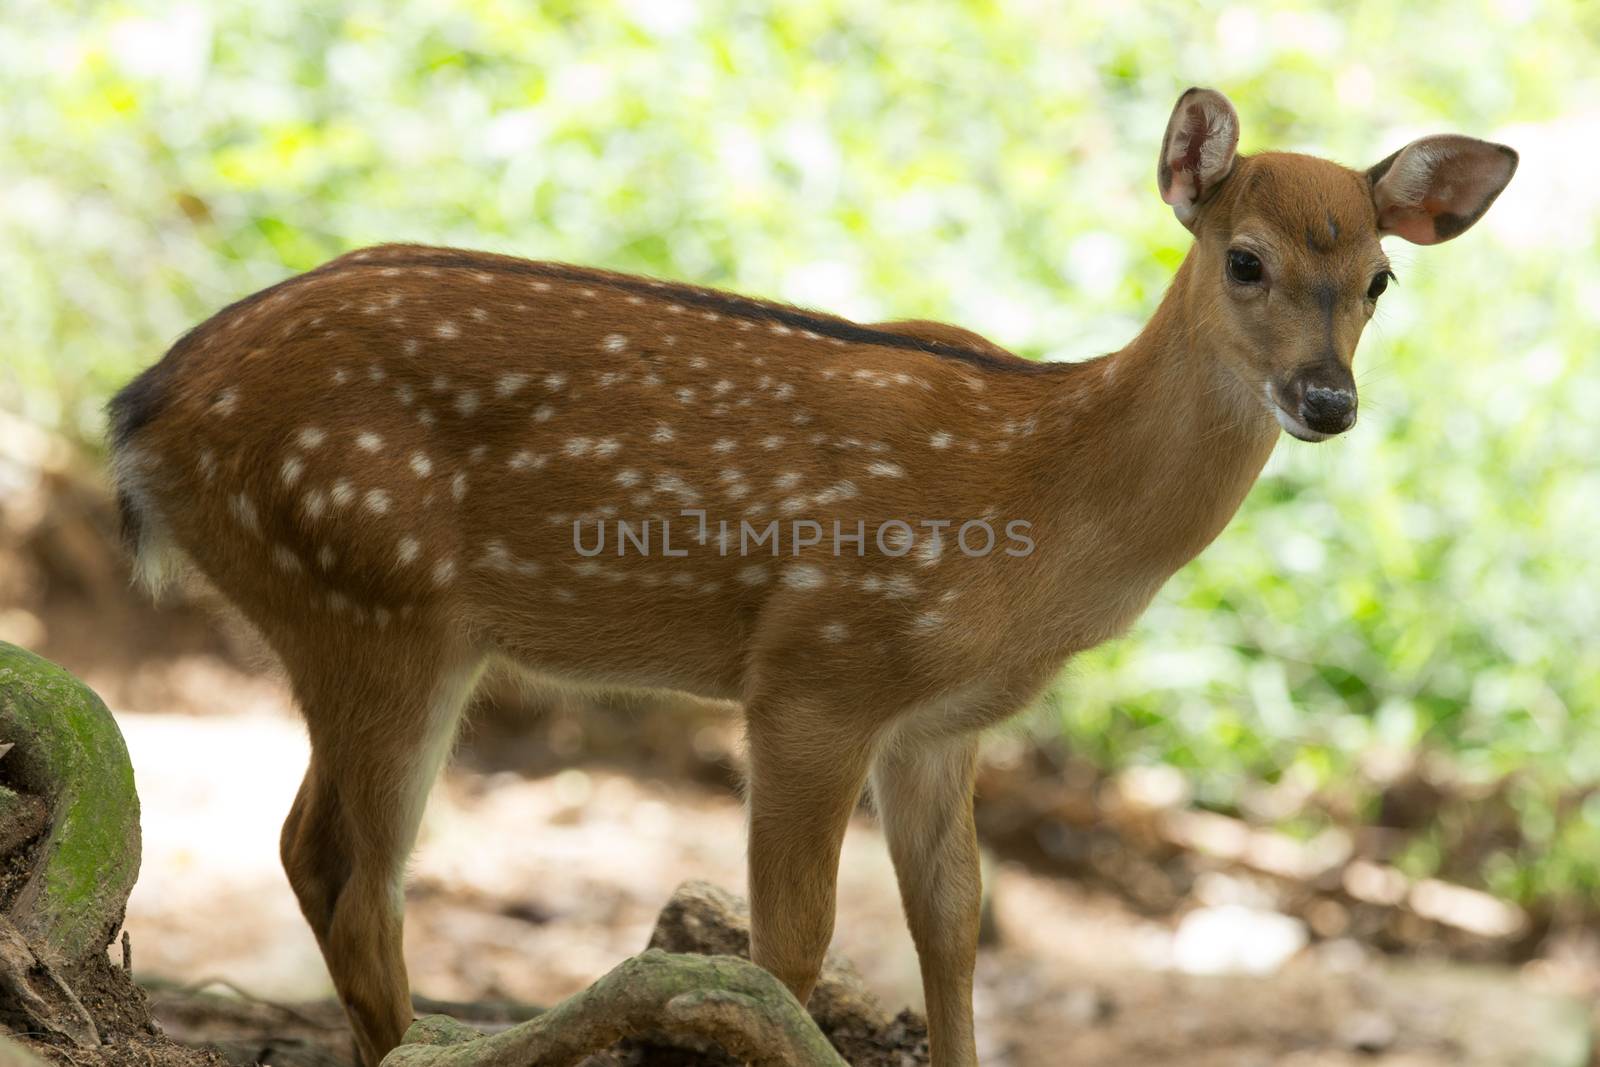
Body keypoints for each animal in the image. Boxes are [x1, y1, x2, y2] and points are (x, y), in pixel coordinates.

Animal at [109, 91, 1510, 1067]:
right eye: (1245, 258)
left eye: (1378, 277)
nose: (1326, 400)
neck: (1036, 498)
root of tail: (144, 410)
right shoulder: (814, 671)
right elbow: (786, 944)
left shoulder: (939, 723)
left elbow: (952, 920)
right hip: (371, 590)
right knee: (360, 887)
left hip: (355, 614)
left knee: (305, 848)